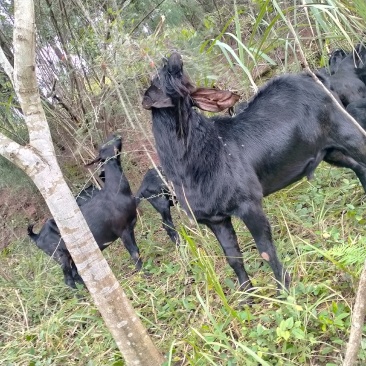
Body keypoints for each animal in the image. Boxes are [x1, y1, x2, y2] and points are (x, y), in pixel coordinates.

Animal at [26, 134, 142, 288]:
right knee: (68, 278)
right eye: (103, 146)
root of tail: (37, 237)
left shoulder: (130, 227)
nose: (115, 135)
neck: (115, 191)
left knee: (75, 274)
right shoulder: (122, 230)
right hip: (60, 255)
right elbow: (134, 253)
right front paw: (144, 275)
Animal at [143, 51, 366, 296]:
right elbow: (233, 258)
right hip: (331, 152)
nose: (174, 58)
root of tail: (317, 77)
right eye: (159, 78)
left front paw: (283, 291)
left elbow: (265, 251)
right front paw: (246, 295)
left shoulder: (249, 204)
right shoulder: (215, 219)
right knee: (358, 167)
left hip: (349, 133)